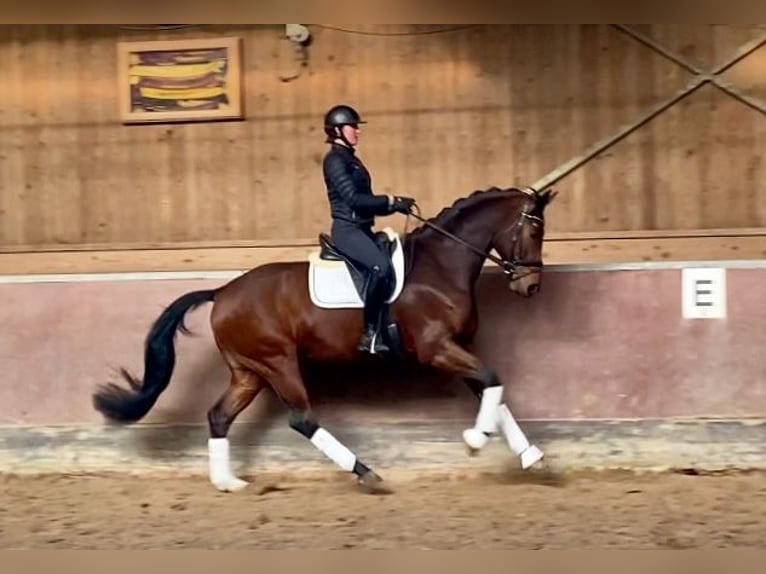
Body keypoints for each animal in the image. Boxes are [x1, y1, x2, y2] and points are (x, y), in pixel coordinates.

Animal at [91, 186, 560, 496]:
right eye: (534, 231)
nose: (531, 286)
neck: (440, 267)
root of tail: (222, 292)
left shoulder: (458, 348)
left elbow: (493, 390)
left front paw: (530, 456)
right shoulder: (437, 350)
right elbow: (493, 380)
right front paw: (477, 439)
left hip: (249, 371)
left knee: (219, 416)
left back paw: (228, 482)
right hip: (278, 362)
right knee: (302, 419)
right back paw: (366, 472)